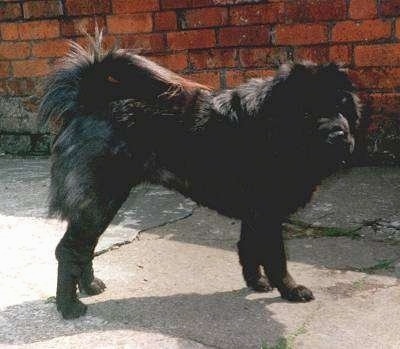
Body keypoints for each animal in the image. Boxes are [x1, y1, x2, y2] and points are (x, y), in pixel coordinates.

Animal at [39, 32, 360, 318]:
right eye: (307, 112)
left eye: (343, 107)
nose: (338, 135)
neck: (272, 128)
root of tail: (87, 100)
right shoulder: (268, 214)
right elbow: (276, 259)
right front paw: (290, 290)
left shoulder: (256, 214)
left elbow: (248, 248)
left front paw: (256, 282)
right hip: (98, 201)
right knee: (69, 251)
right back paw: (69, 307)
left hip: (101, 205)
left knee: (84, 249)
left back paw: (90, 287)